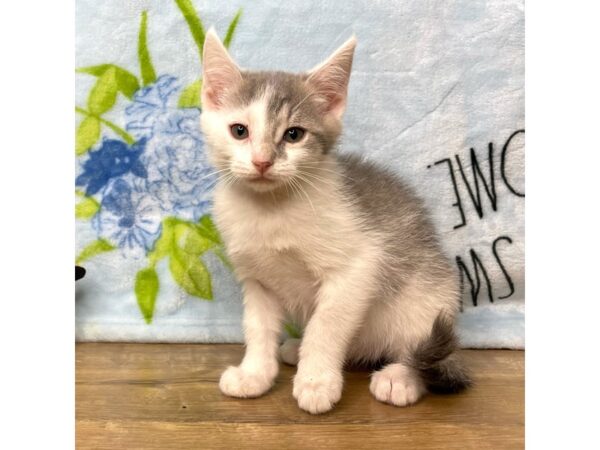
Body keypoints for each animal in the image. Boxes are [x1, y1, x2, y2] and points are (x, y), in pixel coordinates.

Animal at [199, 29, 472, 414]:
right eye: (239, 131)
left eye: (294, 134)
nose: (262, 162)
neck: (272, 208)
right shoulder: (257, 279)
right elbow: (257, 327)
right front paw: (254, 374)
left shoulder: (359, 266)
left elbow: (326, 325)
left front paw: (316, 382)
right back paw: (295, 349)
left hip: (429, 299)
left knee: (421, 349)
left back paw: (400, 377)